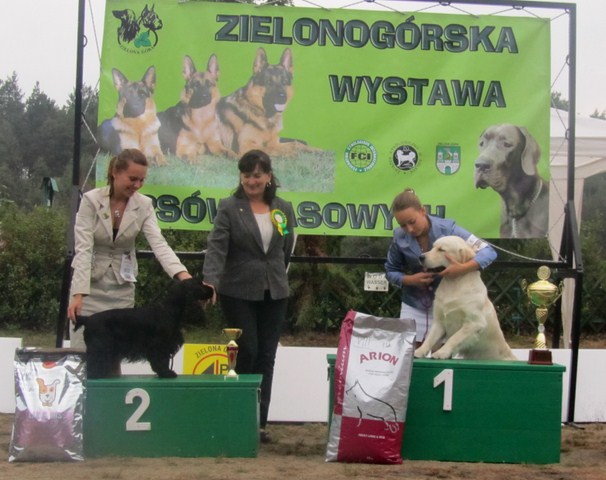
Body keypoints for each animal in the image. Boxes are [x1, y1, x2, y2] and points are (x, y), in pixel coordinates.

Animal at [74, 278, 213, 379]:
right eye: (200, 284)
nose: (212, 289)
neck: (169, 309)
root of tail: (87, 319)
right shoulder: (159, 344)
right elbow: (161, 360)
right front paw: (166, 373)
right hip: (99, 347)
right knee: (93, 362)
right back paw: (95, 375)